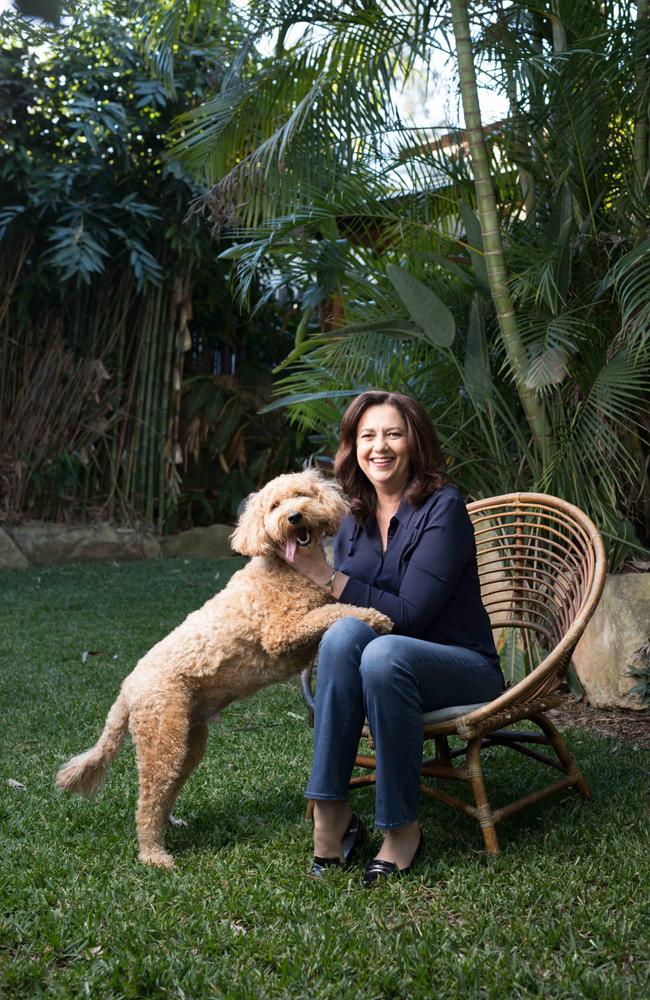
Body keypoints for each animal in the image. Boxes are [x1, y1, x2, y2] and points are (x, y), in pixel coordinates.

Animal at [55, 468, 390, 868]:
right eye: (274, 506)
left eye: (301, 495)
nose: (294, 517)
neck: (284, 568)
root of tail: (126, 690)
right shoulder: (282, 633)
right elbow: (333, 611)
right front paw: (375, 617)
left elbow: (328, 612)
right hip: (161, 739)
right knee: (147, 801)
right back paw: (154, 855)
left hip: (187, 740)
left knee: (166, 791)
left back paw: (171, 825)